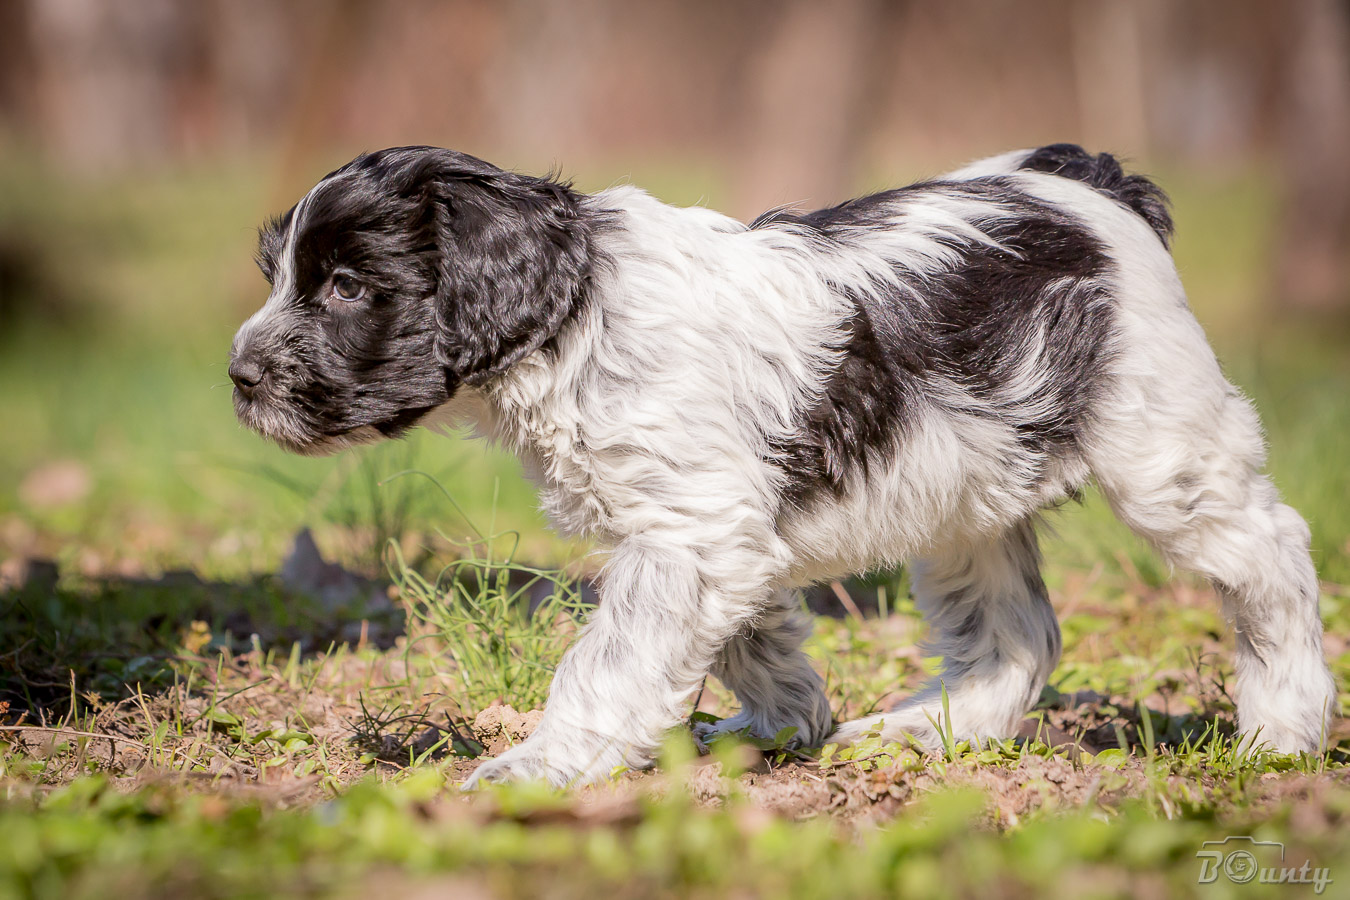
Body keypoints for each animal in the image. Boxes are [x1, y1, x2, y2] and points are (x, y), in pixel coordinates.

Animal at [229, 144, 1336, 787]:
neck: (582, 315)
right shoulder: (713, 531)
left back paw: (1285, 729)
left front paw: (541, 767)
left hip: (1164, 449)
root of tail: (1088, 181)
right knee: (1015, 633)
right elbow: (743, 638)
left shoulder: (690, 535)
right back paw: (925, 731)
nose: (240, 378)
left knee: (1273, 556)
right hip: (967, 491)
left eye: (345, 286)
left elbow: (610, 659)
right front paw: (785, 722)